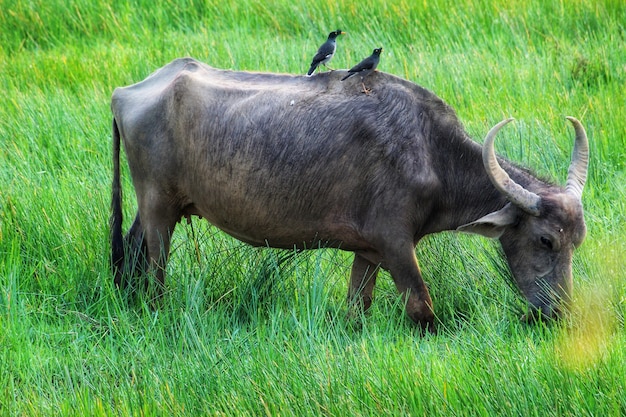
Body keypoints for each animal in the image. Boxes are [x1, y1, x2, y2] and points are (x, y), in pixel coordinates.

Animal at [111, 57, 584, 328]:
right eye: (545, 240)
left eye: (576, 242)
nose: (559, 312)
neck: (430, 152)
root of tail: (125, 92)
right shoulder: (396, 245)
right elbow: (423, 310)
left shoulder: (369, 251)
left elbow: (358, 310)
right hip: (158, 212)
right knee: (154, 275)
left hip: (153, 211)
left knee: (130, 255)